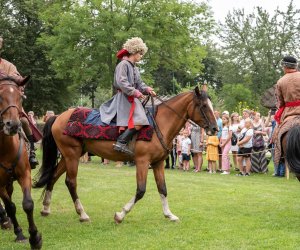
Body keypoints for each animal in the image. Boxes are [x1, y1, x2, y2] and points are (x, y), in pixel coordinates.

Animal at [34, 85, 217, 223]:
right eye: (204, 106)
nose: (215, 129)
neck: (160, 124)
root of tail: (58, 117)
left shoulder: (158, 163)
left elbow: (163, 189)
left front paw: (169, 214)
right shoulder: (142, 162)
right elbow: (141, 190)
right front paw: (120, 214)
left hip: (70, 155)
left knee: (53, 176)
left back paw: (46, 208)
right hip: (72, 155)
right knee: (70, 182)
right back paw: (82, 214)